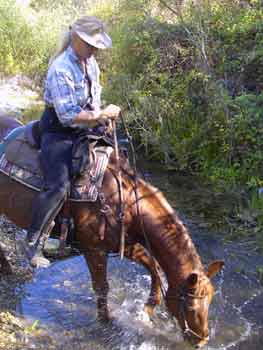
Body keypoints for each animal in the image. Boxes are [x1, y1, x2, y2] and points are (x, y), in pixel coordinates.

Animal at [0, 115, 225, 348]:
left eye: (211, 300)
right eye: (190, 306)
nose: (201, 341)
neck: (124, 202)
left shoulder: (125, 244)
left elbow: (154, 269)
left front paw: (148, 308)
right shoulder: (94, 250)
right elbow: (102, 287)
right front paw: (107, 321)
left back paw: (7, 270)